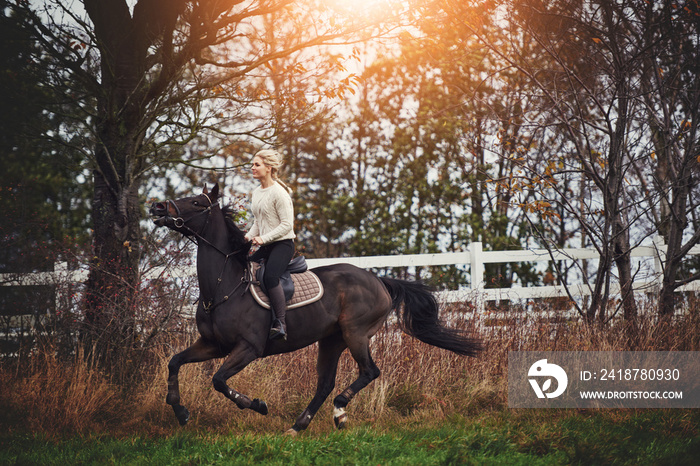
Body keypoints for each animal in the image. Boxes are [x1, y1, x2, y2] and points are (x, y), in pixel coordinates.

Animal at [151, 184, 482, 436]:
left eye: (196, 202)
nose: (157, 207)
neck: (225, 286)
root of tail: (379, 280)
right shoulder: (212, 344)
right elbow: (175, 362)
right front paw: (179, 411)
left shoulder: (248, 348)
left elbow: (219, 381)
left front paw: (258, 405)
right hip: (331, 340)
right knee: (325, 383)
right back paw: (299, 426)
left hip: (355, 334)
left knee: (369, 371)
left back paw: (339, 410)